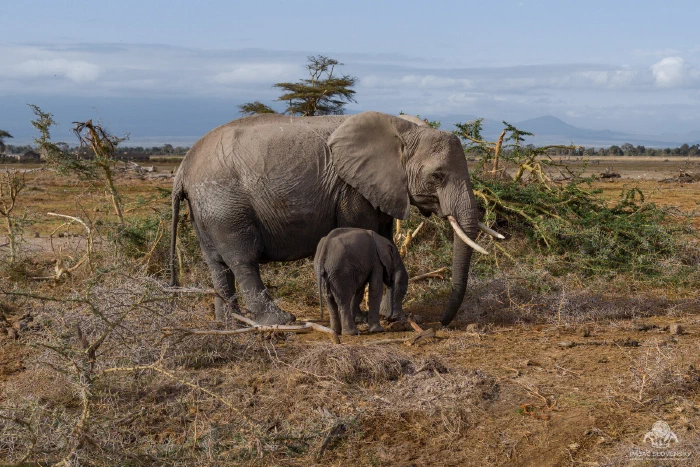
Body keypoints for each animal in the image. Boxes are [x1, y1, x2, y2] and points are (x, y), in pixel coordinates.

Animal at [170, 111, 500, 326]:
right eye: (437, 176)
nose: (443, 322)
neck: (404, 129)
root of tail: (183, 168)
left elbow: (386, 243)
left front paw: (390, 316)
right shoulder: (352, 188)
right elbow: (363, 237)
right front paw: (366, 318)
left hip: (207, 211)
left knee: (218, 265)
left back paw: (229, 326)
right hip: (226, 207)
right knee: (243, 261)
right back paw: (279, 321)